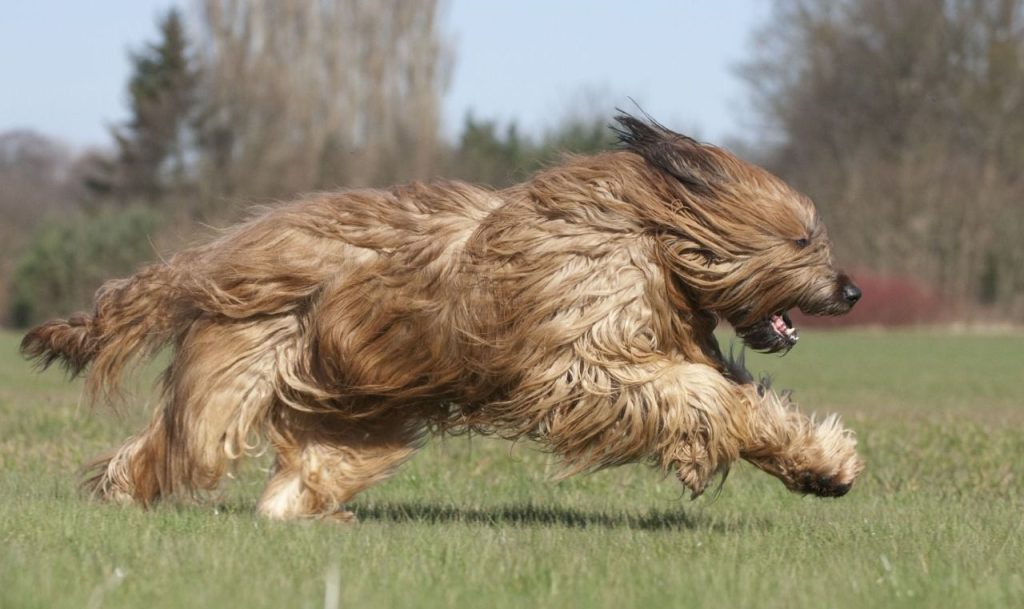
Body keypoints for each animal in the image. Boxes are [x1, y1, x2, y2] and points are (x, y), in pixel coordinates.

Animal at [22, 115, 864, 524]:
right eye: (802, 239)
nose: (852, 289)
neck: (648, 241)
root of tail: (215, 260)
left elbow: (747, 403)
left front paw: (822, 463)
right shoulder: (579, 362)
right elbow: (700, 397)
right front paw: (721, 443)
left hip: (359, 418)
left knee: (300, 476)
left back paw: (307, 516)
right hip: (232, 381)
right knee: (176, 447)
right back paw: (120, 493)